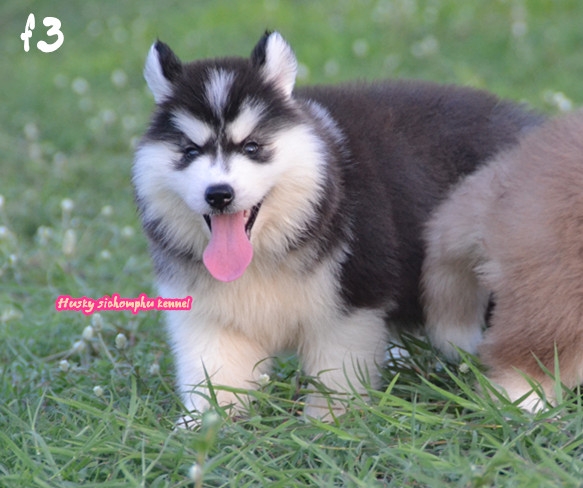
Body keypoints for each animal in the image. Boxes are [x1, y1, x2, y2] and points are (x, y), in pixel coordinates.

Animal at [132, 31, 541, 423]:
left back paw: (522, 401)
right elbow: (214, 378)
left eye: (252, 147)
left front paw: (328, 423)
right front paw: (202, 426)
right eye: (190, 151)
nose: (219, 194)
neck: (267, 252)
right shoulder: (207, 319)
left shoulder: (351, 304)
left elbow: (336, 376)